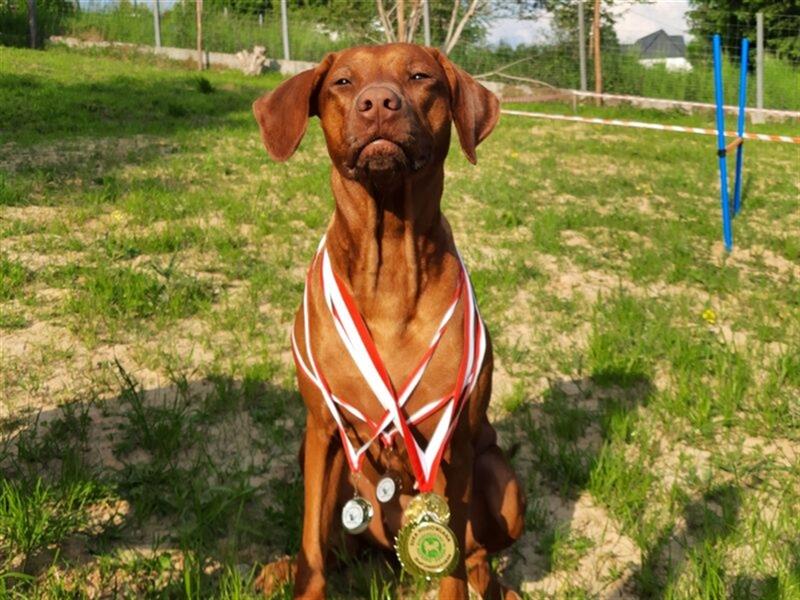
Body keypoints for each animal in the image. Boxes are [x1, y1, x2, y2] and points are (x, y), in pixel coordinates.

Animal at [252, 43, 524, 600]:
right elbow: (312, 541)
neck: (392, 268)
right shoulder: (322, 428)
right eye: (343, 81)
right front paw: (302, 576)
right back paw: (284, 568)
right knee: (332, 544)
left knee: (478, 552)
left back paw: (495, 584)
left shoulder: (455, 442)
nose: (378, 102)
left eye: (420, 77)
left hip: (502, 480)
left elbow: (453, 567)